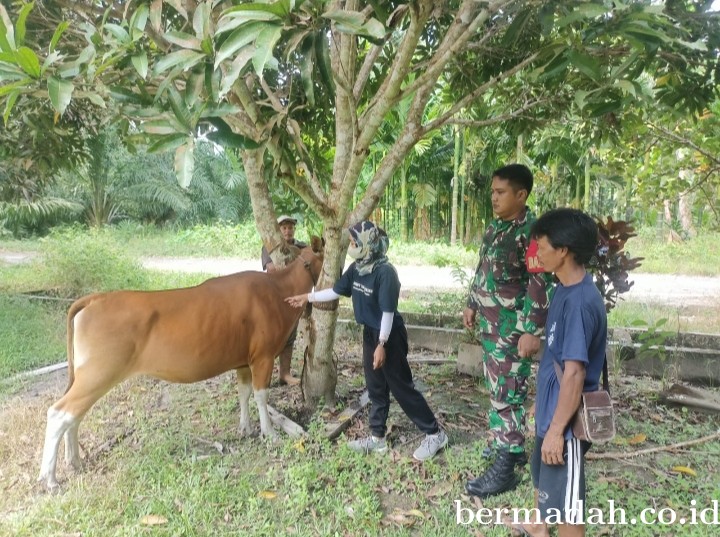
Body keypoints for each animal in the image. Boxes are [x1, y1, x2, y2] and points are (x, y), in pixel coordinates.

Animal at [36, 237, 324, 488]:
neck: (278, 290)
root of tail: (95, 298)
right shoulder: (263, 356)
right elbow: (261, 396)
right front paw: (270, 434)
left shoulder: (243, 361)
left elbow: (243, 393)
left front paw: (246, 428)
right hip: (97, 373)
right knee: (59, 413)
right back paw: (50, 478)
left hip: (88, 376)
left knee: (74, 416)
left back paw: (74, 461)